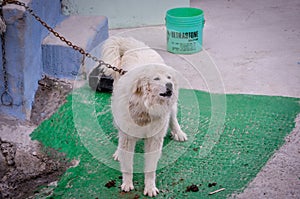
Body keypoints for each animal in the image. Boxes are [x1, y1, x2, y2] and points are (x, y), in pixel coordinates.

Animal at [99, 36, 186, 197]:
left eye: (169, 77)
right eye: (156, 79)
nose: (170, 85)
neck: (145, 109)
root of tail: (135, 44)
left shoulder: (154, 139)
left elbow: (150, 168)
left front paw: (150, 187)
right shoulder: (127, 137)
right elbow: (128, 164)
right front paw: (127, 184)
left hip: (171, 108)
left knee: (173, 117)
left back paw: (179, 132)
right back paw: (118, 152)